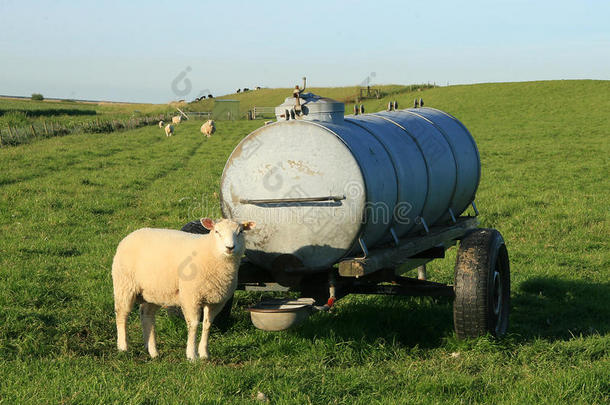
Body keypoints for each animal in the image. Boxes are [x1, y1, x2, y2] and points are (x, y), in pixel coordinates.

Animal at [111, 218, 254, 360]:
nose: (230, 247)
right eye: (217, 231)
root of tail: (132, 234)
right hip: (124, 284)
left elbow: (207, 324)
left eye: (240, 232)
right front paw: (191, 355)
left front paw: (204, 354)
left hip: (153, 292)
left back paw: (153, 351)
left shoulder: (216, 301)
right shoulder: (191, 296)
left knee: (147, 316)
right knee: (122, 314)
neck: (210, 251)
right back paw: (123, 347)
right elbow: (194, 324)